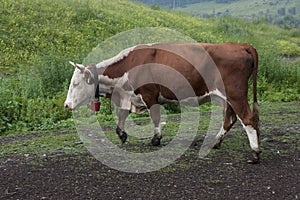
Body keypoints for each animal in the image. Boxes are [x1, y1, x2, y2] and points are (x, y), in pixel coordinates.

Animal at [64, 42, 262, 164]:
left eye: (75, 84)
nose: (66, 105)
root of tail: (240, 45)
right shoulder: (130, 96)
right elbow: (122, 114)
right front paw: (122, 134)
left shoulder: (150, 94)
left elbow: (155, 117)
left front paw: (156, 139)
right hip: (225, 98)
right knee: (230, 119)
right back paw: (215, 142)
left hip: (235, 94)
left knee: (248, 119)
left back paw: (255, 153)